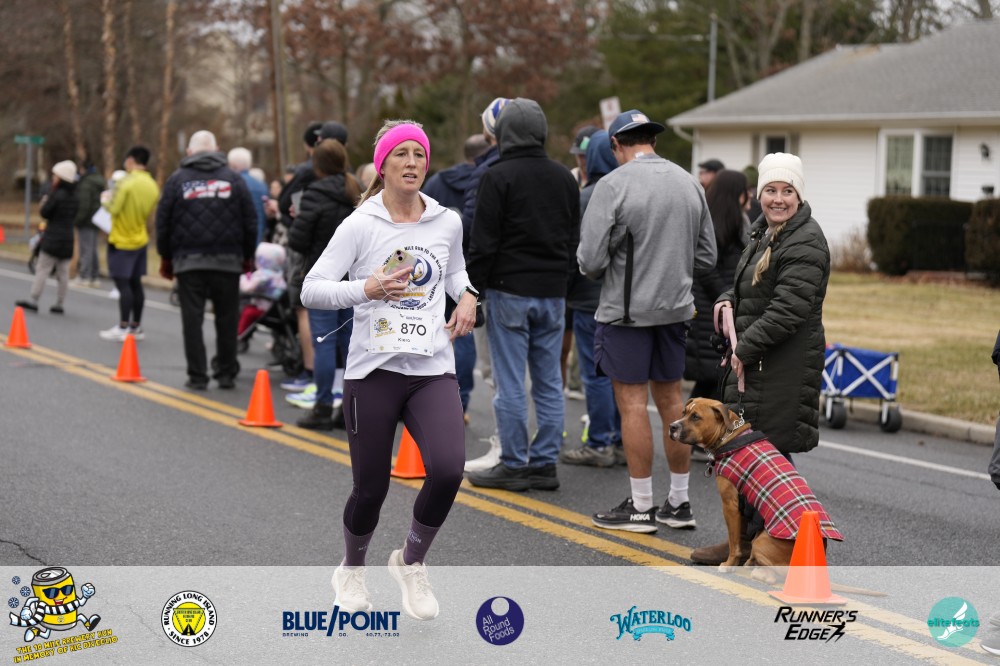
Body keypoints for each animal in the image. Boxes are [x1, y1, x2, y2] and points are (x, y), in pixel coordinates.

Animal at [669, 398, 843, 580]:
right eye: (684, 413)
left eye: (696, 417)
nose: (672, 426)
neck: (729, 436)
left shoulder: (730, 506)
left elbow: (734, 543)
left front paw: (729, 565)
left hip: (761, 541)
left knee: (772, 575)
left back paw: (755, 569)